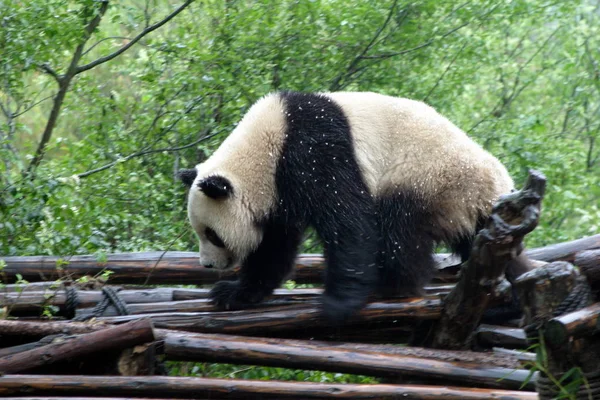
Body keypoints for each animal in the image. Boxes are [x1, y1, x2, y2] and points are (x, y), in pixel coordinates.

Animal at [178, 90, 516, 322]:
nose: (207, 265)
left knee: (397, 226)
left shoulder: (315, 152)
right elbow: (274, 245)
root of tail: (497, 188)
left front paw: (337, 304)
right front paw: (235, 293)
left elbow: (348, 221)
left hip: (434, 178)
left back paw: (394, 286)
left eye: (212, 234)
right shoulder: (279, 191)